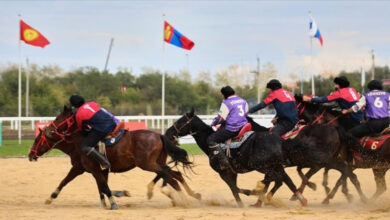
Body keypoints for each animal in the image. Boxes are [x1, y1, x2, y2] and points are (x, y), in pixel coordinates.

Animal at [27, 106, 200, 210]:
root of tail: (160, 135)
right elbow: (97, 186)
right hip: (155, 162)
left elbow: (102, 186)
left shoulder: (86, 168)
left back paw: (174, 195)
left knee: (168, 173)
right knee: (173, 175)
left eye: (37, 140)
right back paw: (186, 197)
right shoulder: (92, 170)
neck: (78, 142)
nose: (30, 155)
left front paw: (115, 199)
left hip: (147, 163)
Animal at [165, 108, 308, 208]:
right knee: (284, 179)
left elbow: (234, 188)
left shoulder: (223, 172)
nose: (168, 132)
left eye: (180, 121)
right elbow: (235, 188)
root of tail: (279, 139)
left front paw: (247, 197)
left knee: (277, 178)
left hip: (262, 165)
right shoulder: (232, 173)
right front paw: (242, 202)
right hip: (272, 165)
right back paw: (300, 199)